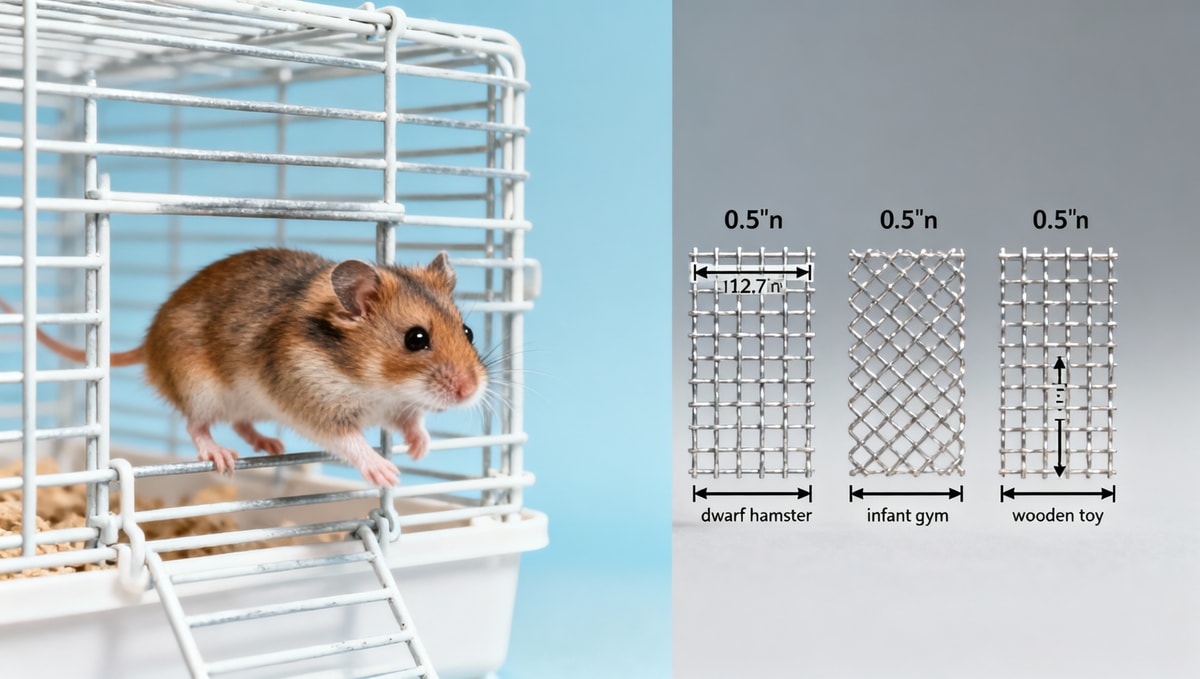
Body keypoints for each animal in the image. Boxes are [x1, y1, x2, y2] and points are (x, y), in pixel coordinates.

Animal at [11, 248, 488, 487]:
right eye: (416, 339)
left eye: (468, 331)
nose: (470, 391)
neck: (374, 383)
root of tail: (146, 346)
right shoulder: (312, 401)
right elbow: (349, 442)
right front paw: (388, 473)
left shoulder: (397, 405)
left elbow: (412, 420)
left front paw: (419, 448)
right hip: (201, 386)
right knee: (197, 426)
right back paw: (222, 456)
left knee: (241, 422)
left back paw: (270, 445)